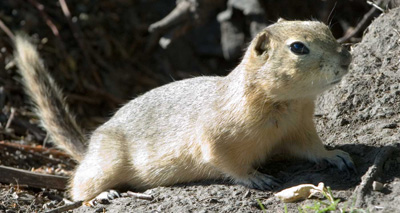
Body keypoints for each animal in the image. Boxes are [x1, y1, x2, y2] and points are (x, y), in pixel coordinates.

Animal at [14, 19, 354, 201]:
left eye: (325, 27)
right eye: (298, 47)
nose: (346, 57)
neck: (287, 104)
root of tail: (88, 147)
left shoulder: (300, 128)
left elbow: (311, 149)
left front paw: (334, 155)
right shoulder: (215, 136)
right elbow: (224, 160)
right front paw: (255, 177)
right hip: (105, 165)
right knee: (77, 186)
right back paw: (101, 195)